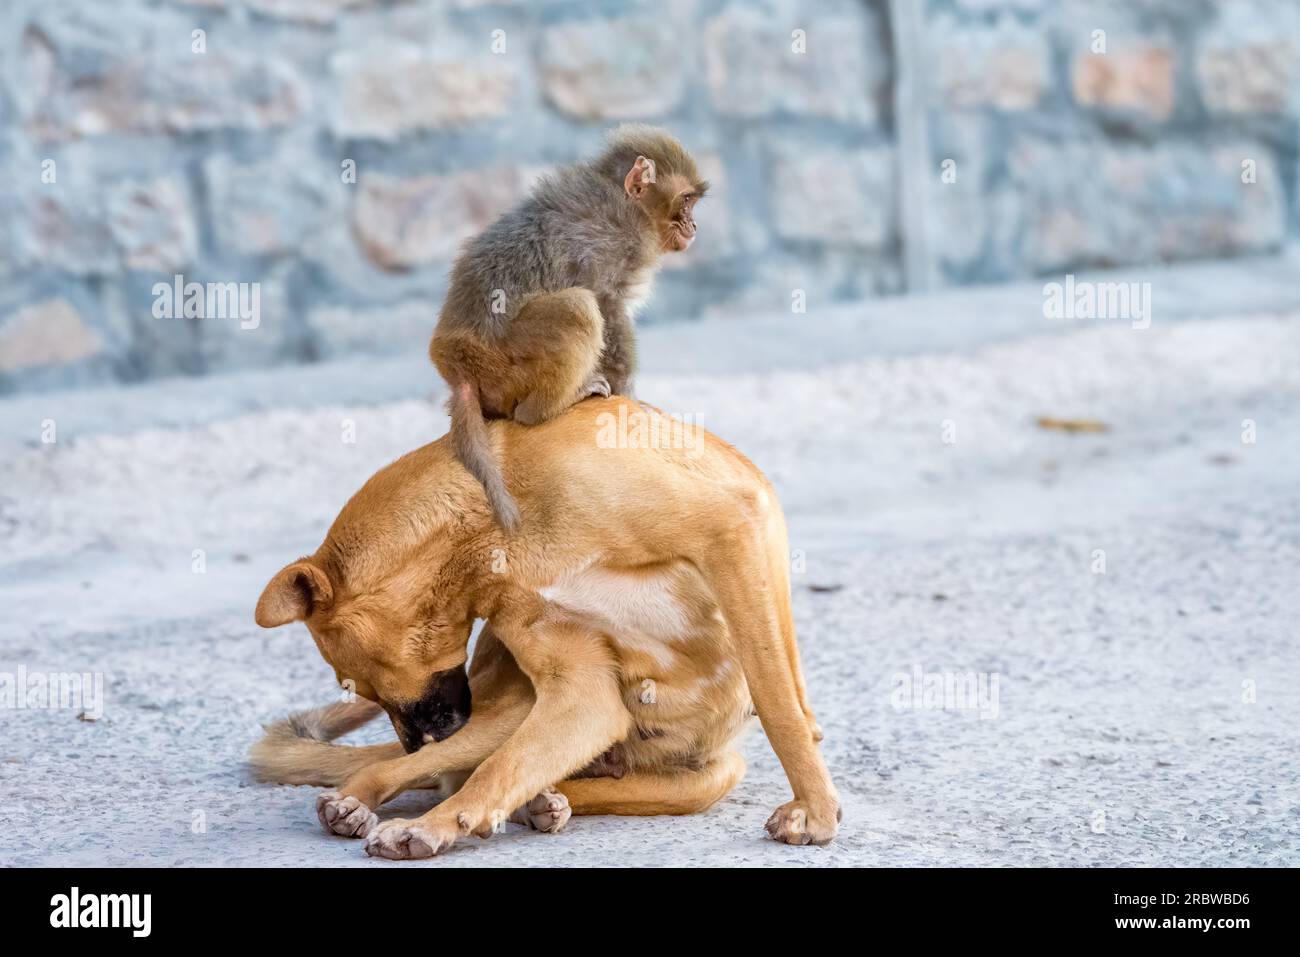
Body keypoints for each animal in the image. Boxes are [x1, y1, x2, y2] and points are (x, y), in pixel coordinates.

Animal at [429, 124, 708, 531]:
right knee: (579, 309)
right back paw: (549, 406)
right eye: (686, 201)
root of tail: (459, 368)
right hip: (506, 365)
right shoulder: (614, 244)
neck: (629, 203)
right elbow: (606, 303)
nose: (694, 226)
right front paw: (630, 396)